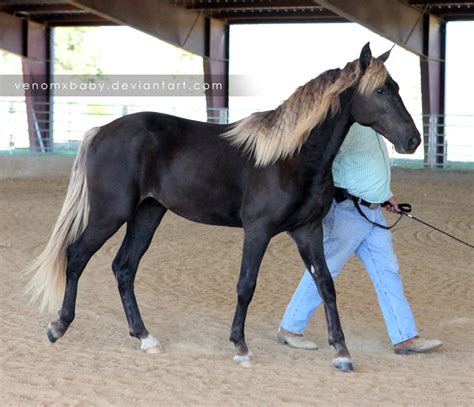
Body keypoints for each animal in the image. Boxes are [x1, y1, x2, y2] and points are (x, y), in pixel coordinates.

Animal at [26, 43, 418, 372]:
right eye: (381, 91)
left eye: (396, 86)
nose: (412, 140)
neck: (290, 157)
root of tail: (101, 131)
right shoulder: (258, 230)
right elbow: (246, 284)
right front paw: (241, 348)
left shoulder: (307, 230)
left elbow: (325, 284)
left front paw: (342, 353)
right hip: (111, 214)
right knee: (76, 256)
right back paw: (58, 326)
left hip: (148, 213)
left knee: (124, 267)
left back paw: (145, 338)